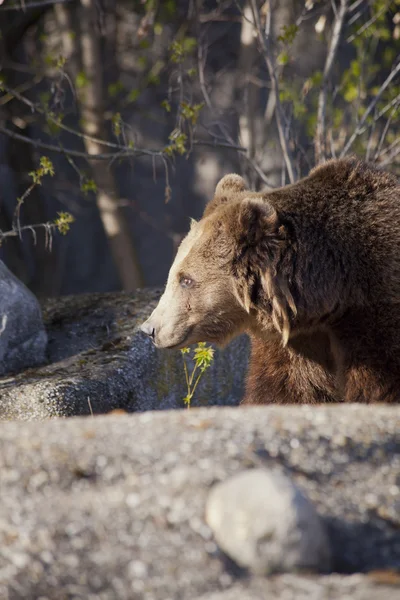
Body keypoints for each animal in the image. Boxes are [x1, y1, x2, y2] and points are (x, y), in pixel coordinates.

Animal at [141, 157, 400, 406]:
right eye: (174, 274)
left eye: (186, 279)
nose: (149, 329)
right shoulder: (295, 340)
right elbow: (285, 389)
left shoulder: (374, 320)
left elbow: (381, 386)